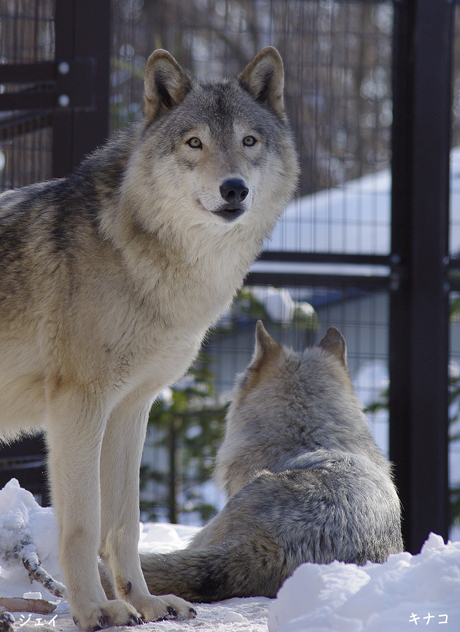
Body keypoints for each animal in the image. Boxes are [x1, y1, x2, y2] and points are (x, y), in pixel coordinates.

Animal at [0, 47, 298, 628]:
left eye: (249, 141)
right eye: (194, 143)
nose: (234, 188)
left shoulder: (130, 409)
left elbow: (124, 524)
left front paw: (143, 601)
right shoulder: (77, 407)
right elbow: (84, 523)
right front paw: (95, 610)